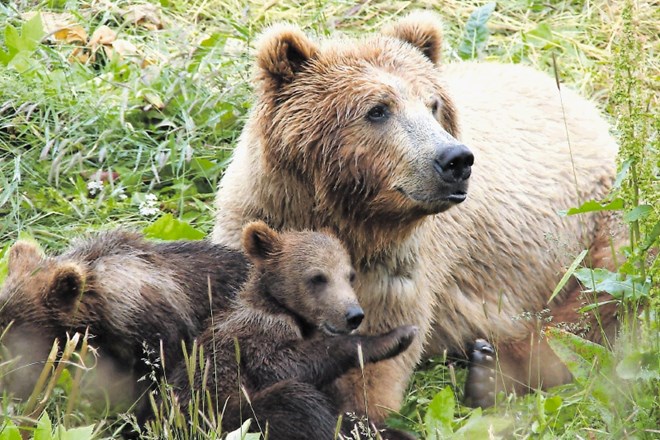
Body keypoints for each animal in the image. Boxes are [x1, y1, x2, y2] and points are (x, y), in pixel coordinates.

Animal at [210, 12, 620, 420]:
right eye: (377, 109)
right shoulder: (257, 226)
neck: (349, 219)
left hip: (594, 221)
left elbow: (373, 373)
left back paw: (490, 372)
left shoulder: (397, 271)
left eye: (432, 104)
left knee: (590, 309)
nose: (456, 160)